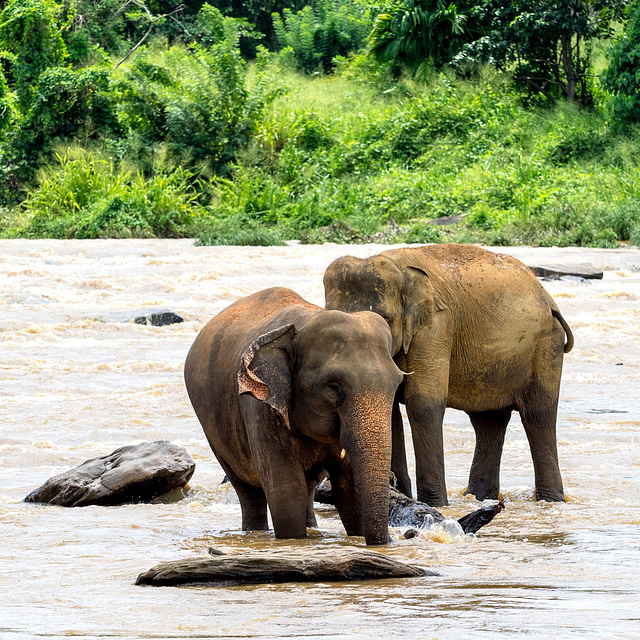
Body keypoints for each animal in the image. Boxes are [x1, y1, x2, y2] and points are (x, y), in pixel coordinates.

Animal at [182, 288, 402, 544]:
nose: (390, 541)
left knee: (309, 486)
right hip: (215, 432)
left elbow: (350, 491)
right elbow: (286, 492)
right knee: (248, 491)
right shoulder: (261, 406)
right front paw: (295, 540)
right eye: (333, 386)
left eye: (397, 383)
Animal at [324, 242, 576, 508]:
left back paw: (551, 500)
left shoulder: (436, 328)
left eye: (387, 320)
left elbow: (423, 405)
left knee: (538, 415)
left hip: (545, 345)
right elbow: (388, 410)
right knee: (489, 420)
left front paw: (433, 505)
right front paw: (400, 495)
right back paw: (479, 498)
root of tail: (547, 297)